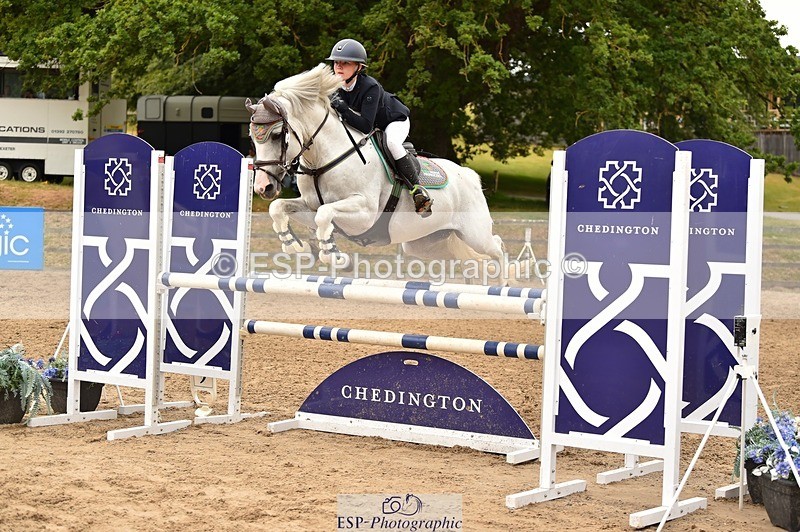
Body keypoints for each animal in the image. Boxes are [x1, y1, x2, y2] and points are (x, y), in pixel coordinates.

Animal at [246, 63, 511, 279]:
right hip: (425, 242)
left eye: (278, 135)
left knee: (497, 248)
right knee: (470, 257)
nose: (262, 187)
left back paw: (505, 283)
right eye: (252, 137)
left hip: (475, 234)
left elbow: (324, 214)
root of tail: (469, 176)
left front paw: (334, 257)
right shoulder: (309, 206)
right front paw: (294, 245)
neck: (323, 159)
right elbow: (279, 207)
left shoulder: (364, 213)